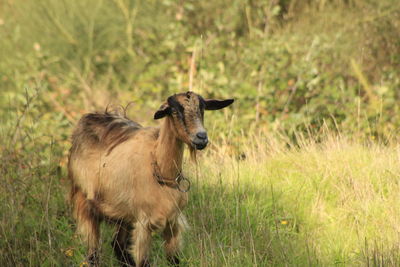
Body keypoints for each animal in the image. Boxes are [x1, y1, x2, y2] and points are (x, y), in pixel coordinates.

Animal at [67, 91, 233, 266]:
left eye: (202, 109)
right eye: (174, 111)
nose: (201, 137)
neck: (163, 173)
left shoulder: (173, 223)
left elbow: (174, 260)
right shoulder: (143, 224)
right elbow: (143, 261)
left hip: (124, 215)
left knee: (118, 245)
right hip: (84, 201)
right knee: (93, 251)